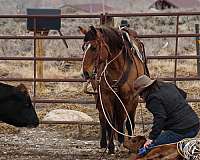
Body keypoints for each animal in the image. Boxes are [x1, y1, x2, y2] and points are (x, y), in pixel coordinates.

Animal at [79, 25, 149, 153]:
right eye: (83, 48)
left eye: (94, 48)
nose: (84, 73)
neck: (117, 67)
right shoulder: (106, 96)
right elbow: (110, 121)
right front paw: (111, 146)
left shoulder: (129, 98)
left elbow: (125, 121)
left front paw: (125, 143)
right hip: (98, 95)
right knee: (103, 117)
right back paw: (103, 143)